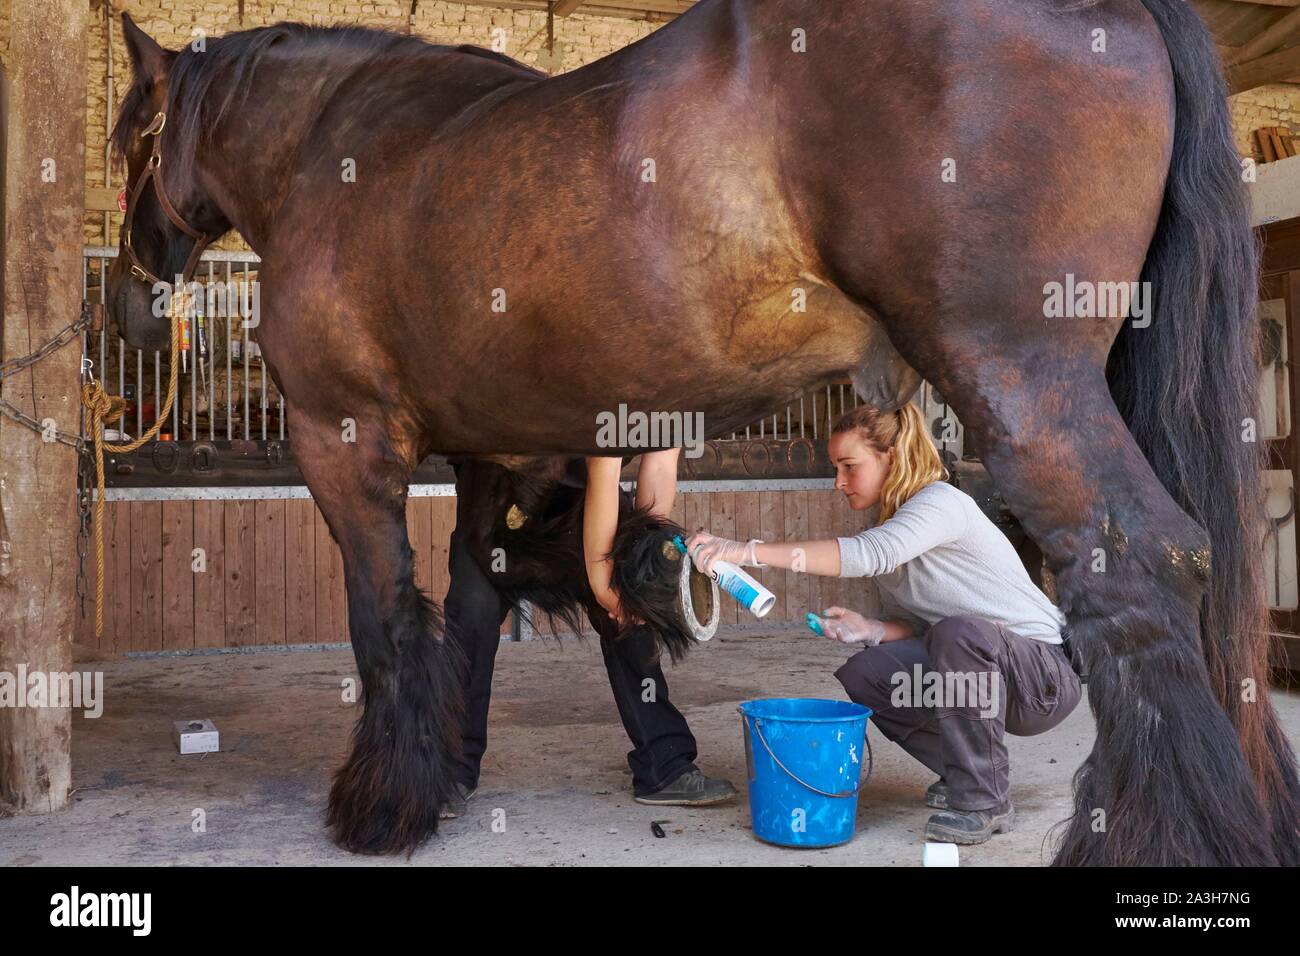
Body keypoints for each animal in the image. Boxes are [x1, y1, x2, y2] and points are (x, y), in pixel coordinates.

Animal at [111, 0, 1300, 863]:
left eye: (130, 134)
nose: (127, 303)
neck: (338, 147)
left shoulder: (343, 438)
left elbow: (388, 616)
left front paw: (383, 803)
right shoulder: (494, 447)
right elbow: (479, 592)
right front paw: (453, 767)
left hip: (1019, 377)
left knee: (1142, 564)